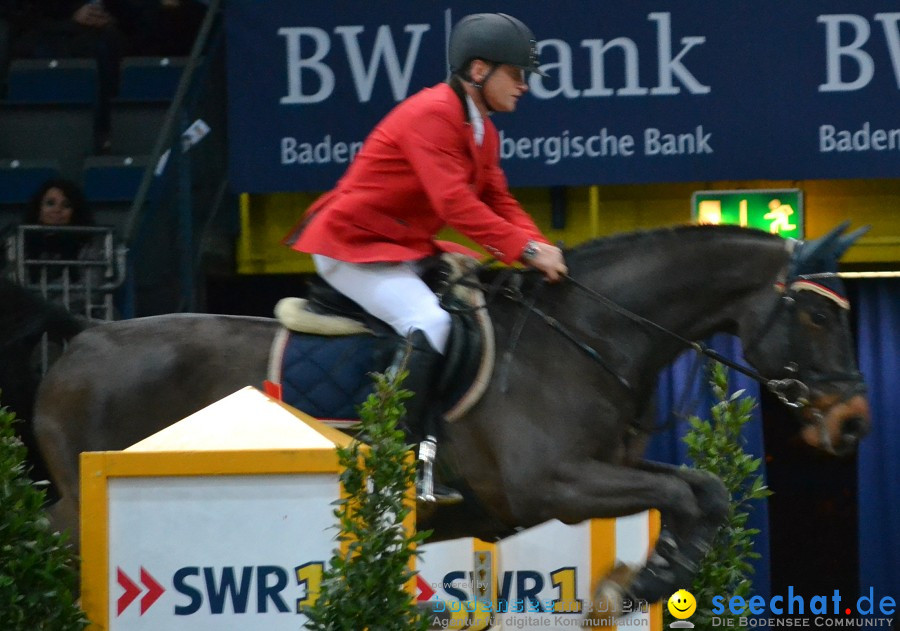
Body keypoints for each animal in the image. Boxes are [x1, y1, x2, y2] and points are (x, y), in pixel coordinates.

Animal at [31, 225, 868, 604]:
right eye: (816, 317)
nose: (855, 422)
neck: (591, 336)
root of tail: (88, 332)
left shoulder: (608, 466)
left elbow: (704, 490)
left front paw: (653, 573)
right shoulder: (554, 486)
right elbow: (681, 493)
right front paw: (643, 578)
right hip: (81, 500)